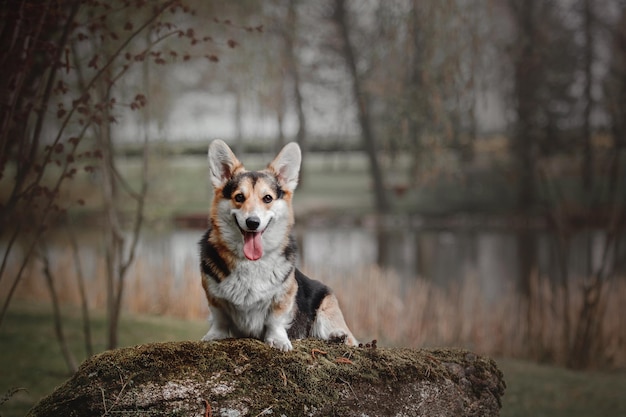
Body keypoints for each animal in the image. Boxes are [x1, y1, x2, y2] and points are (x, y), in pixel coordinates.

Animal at [200, 140, 356, 352]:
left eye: (267, 198)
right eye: (239, 197)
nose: (252, 222)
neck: (251, 262)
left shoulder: (284, 295)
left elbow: (275, 319)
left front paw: (278, 340)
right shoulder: (213, 296)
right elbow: (219, 318)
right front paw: (214, 336)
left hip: (326, 307)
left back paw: (338, 336)